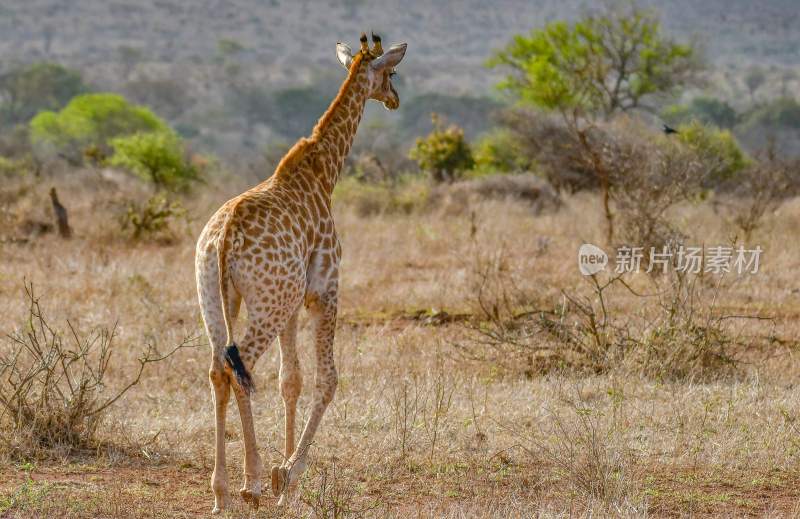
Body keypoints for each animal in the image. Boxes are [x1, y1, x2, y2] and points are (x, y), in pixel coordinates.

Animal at [194, 33, 406, 516]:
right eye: (392, 72)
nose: (395, 100)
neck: (324, 172)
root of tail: (224, 238)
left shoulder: (292, 301)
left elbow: (290, 380)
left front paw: (283, 475)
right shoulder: (325, 288)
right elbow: (327, 380)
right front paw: (287, 473)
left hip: (216, 298)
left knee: (218, 369)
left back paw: (220, 491)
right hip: (265, 305)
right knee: (238, 367)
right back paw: (250, 483)